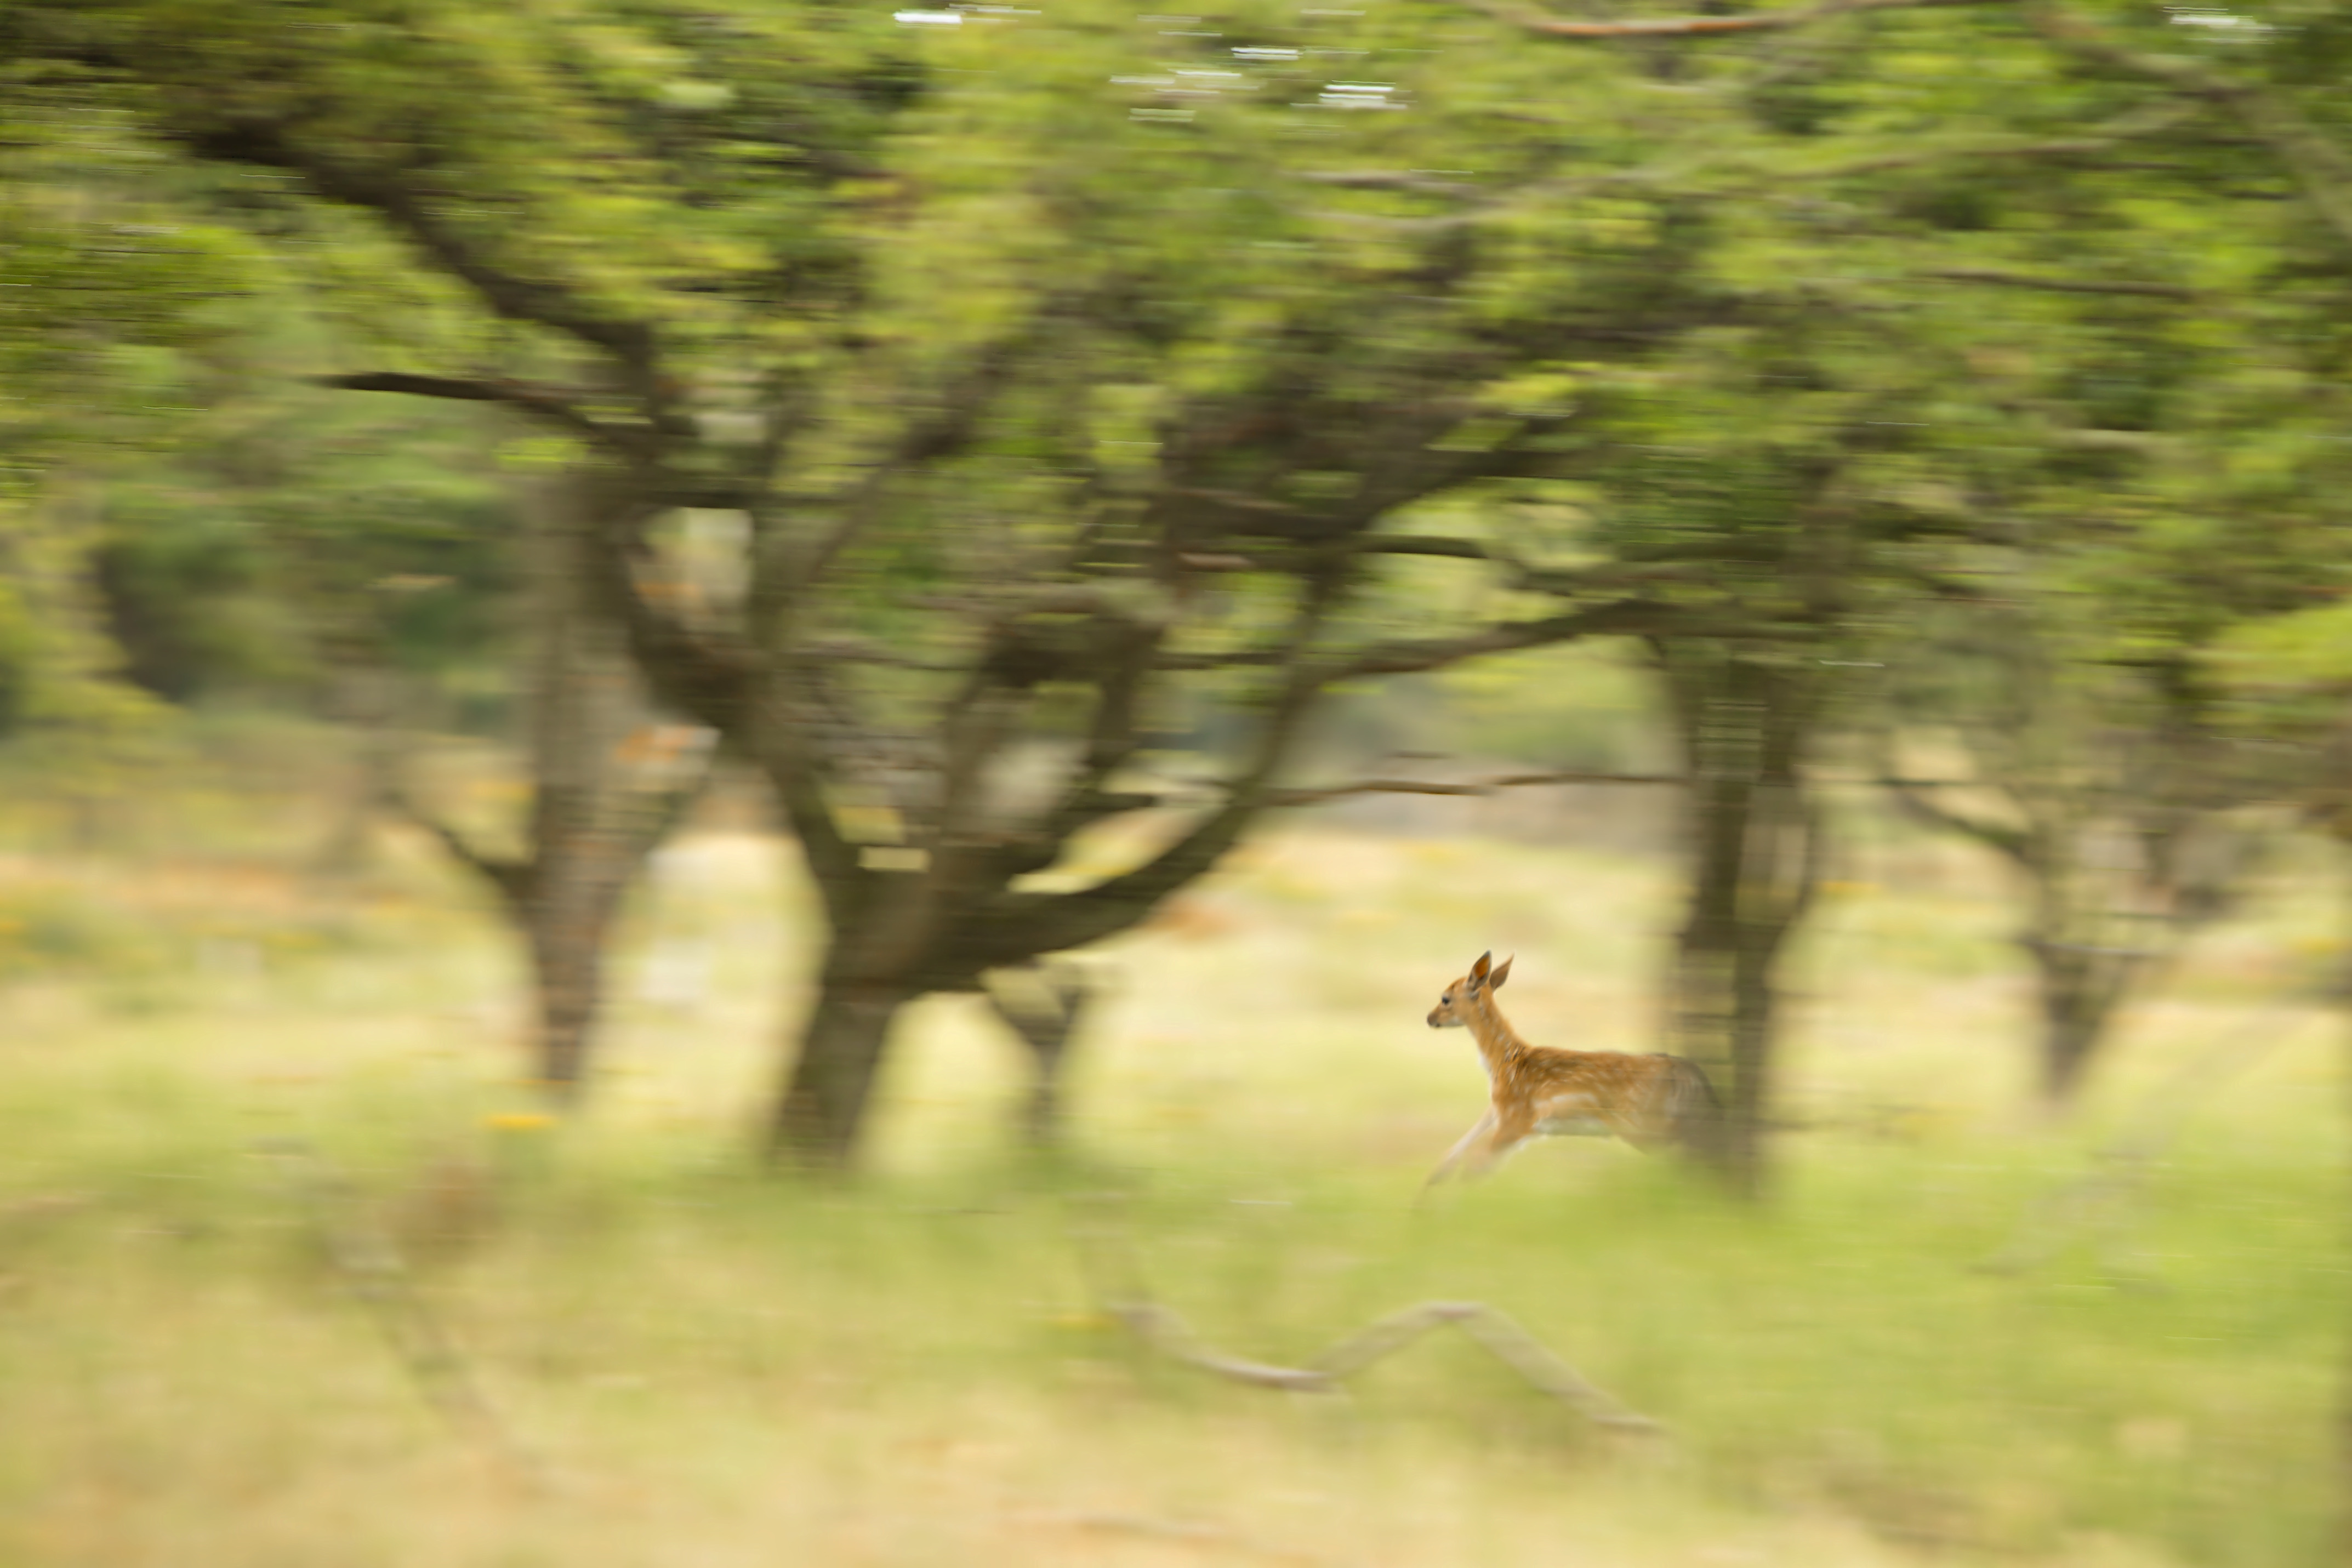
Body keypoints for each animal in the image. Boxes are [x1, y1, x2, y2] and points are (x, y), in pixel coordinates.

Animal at [1420, 951, 1717, 1194]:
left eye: (1445, 999)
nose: (1429, 1018)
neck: (1503, 1062)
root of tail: (1688, 1072)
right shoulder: (1501, 1108)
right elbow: (1458, 1149)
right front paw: (1426, 1193)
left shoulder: (1518, 1117)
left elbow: (1477, 1164)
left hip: (1644, 1120)